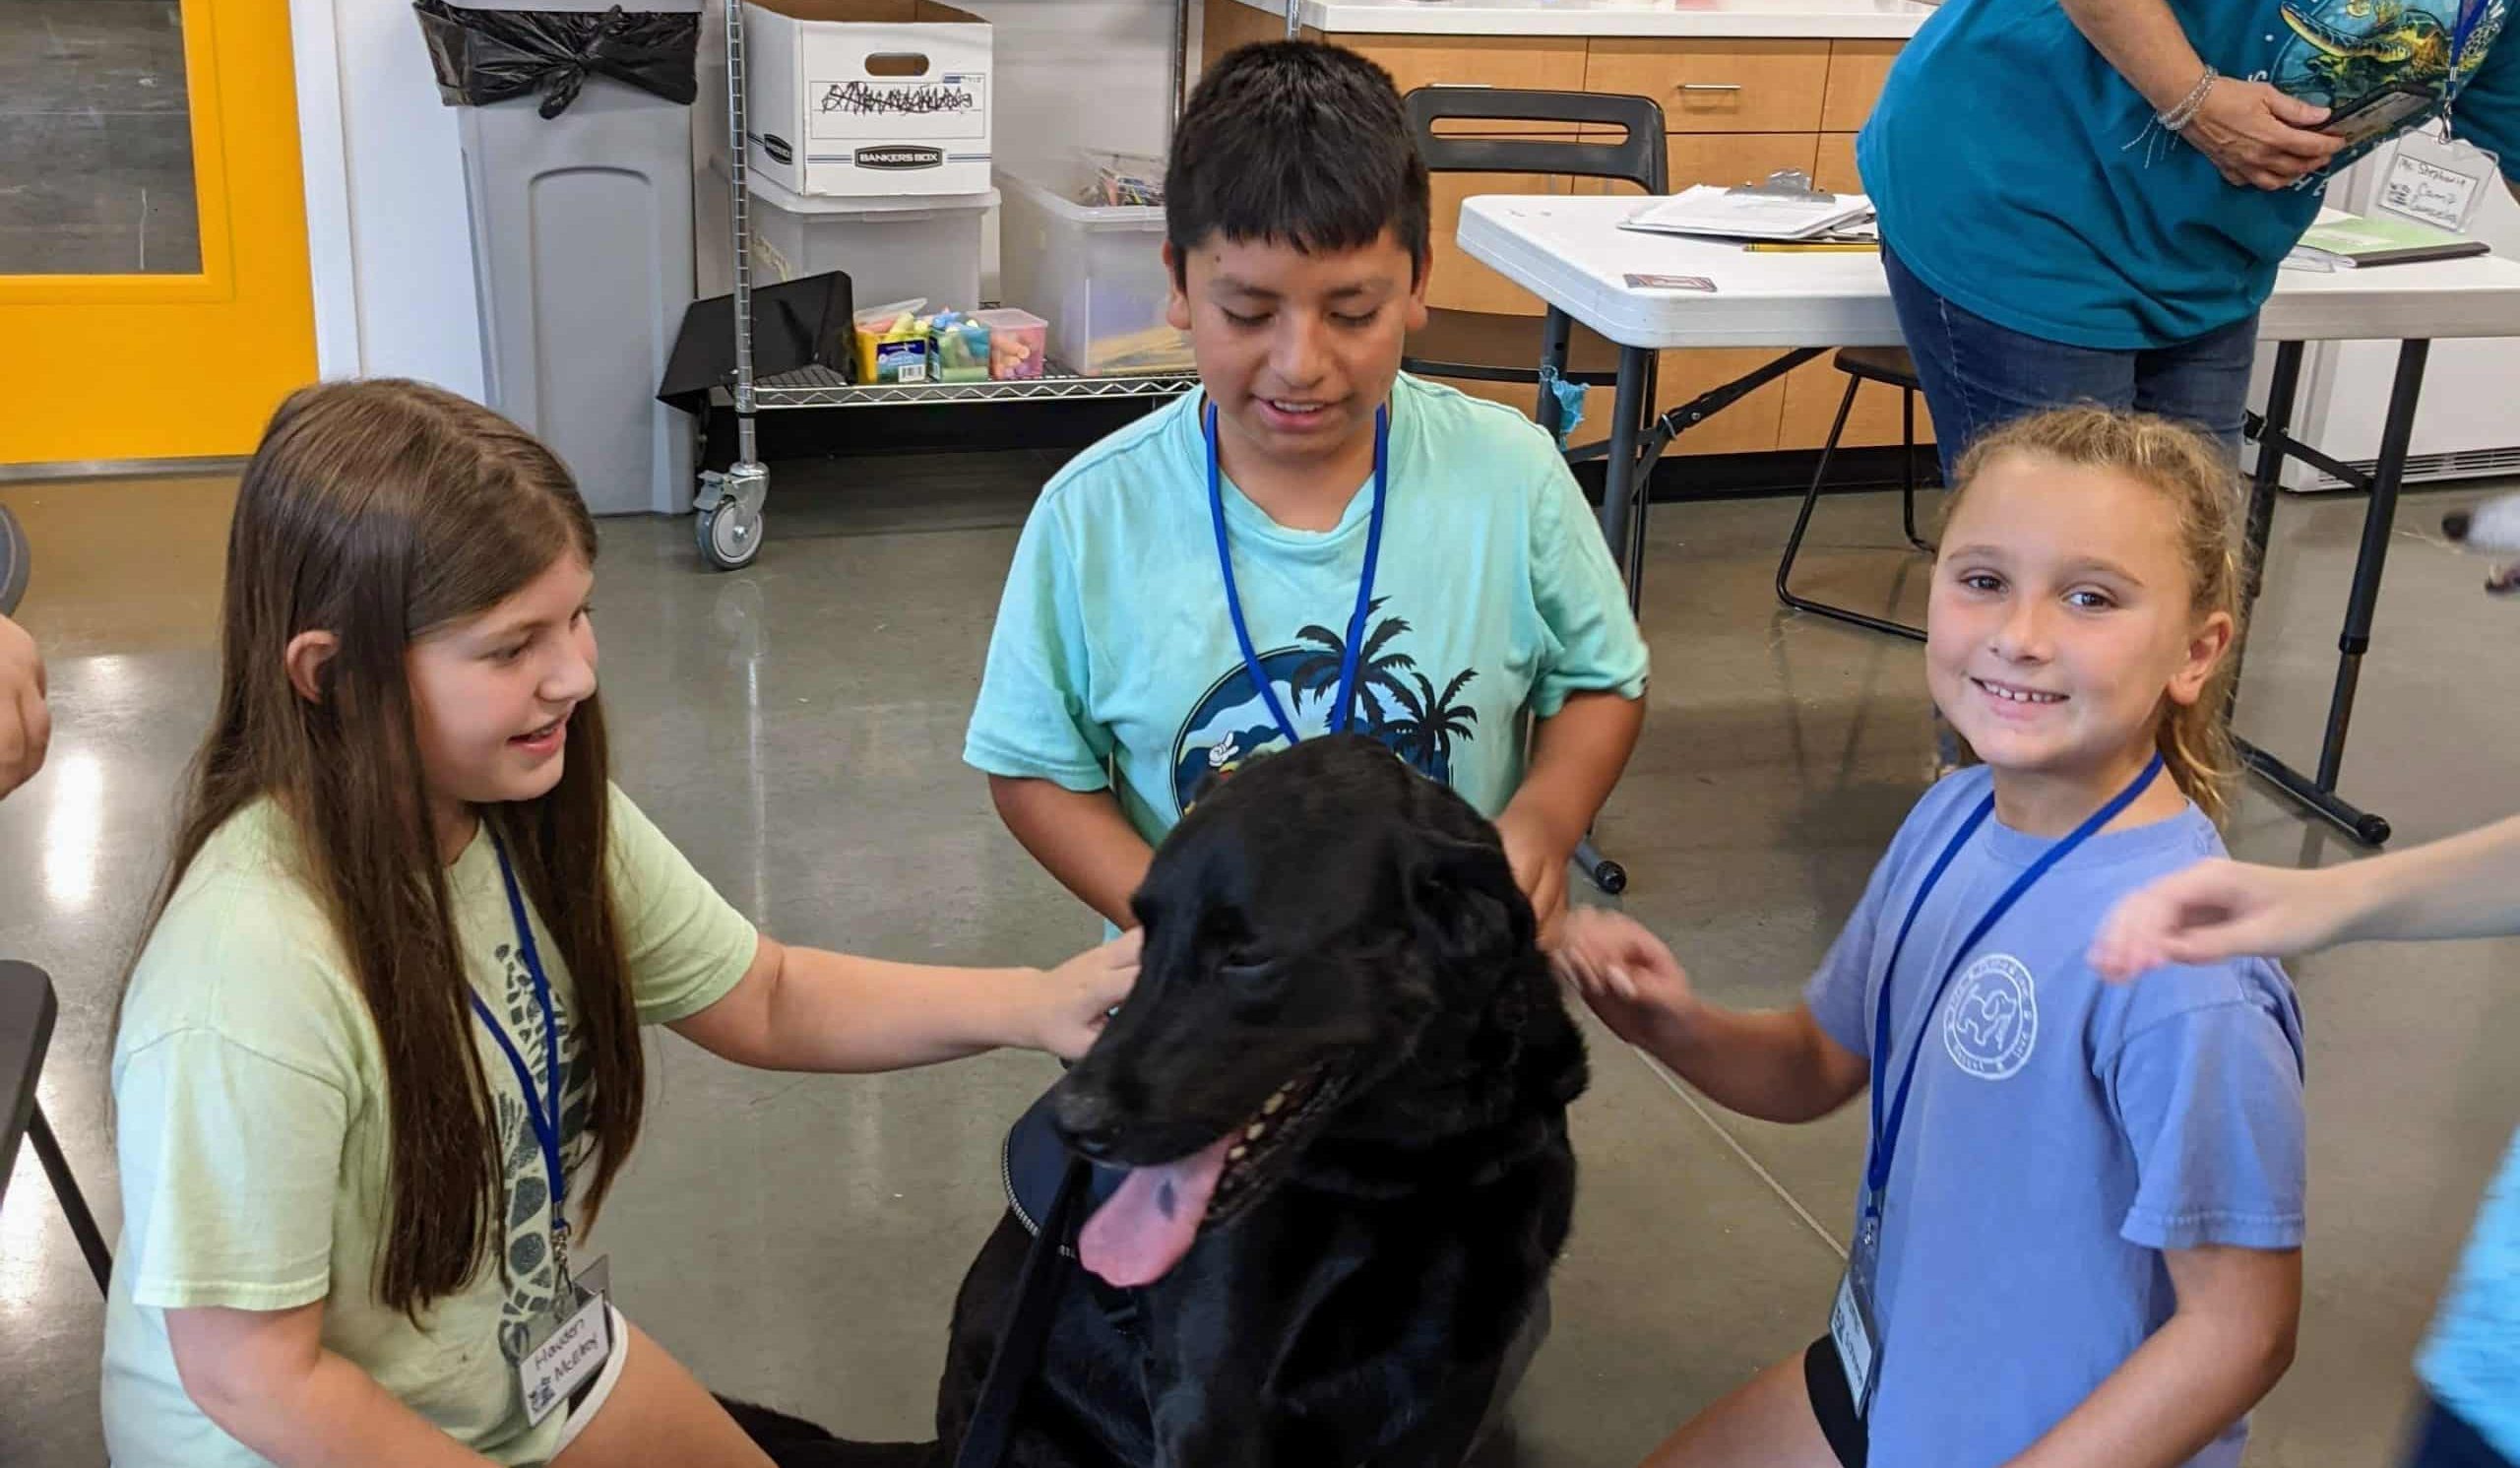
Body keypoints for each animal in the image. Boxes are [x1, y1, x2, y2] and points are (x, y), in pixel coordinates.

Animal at [735, 741, 1582, 1468]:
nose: (1072, 1121)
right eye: (1146, 928)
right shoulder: (1212, 1397)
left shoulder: (1451, 1388)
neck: (1413, 1166)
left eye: (1247, 956)